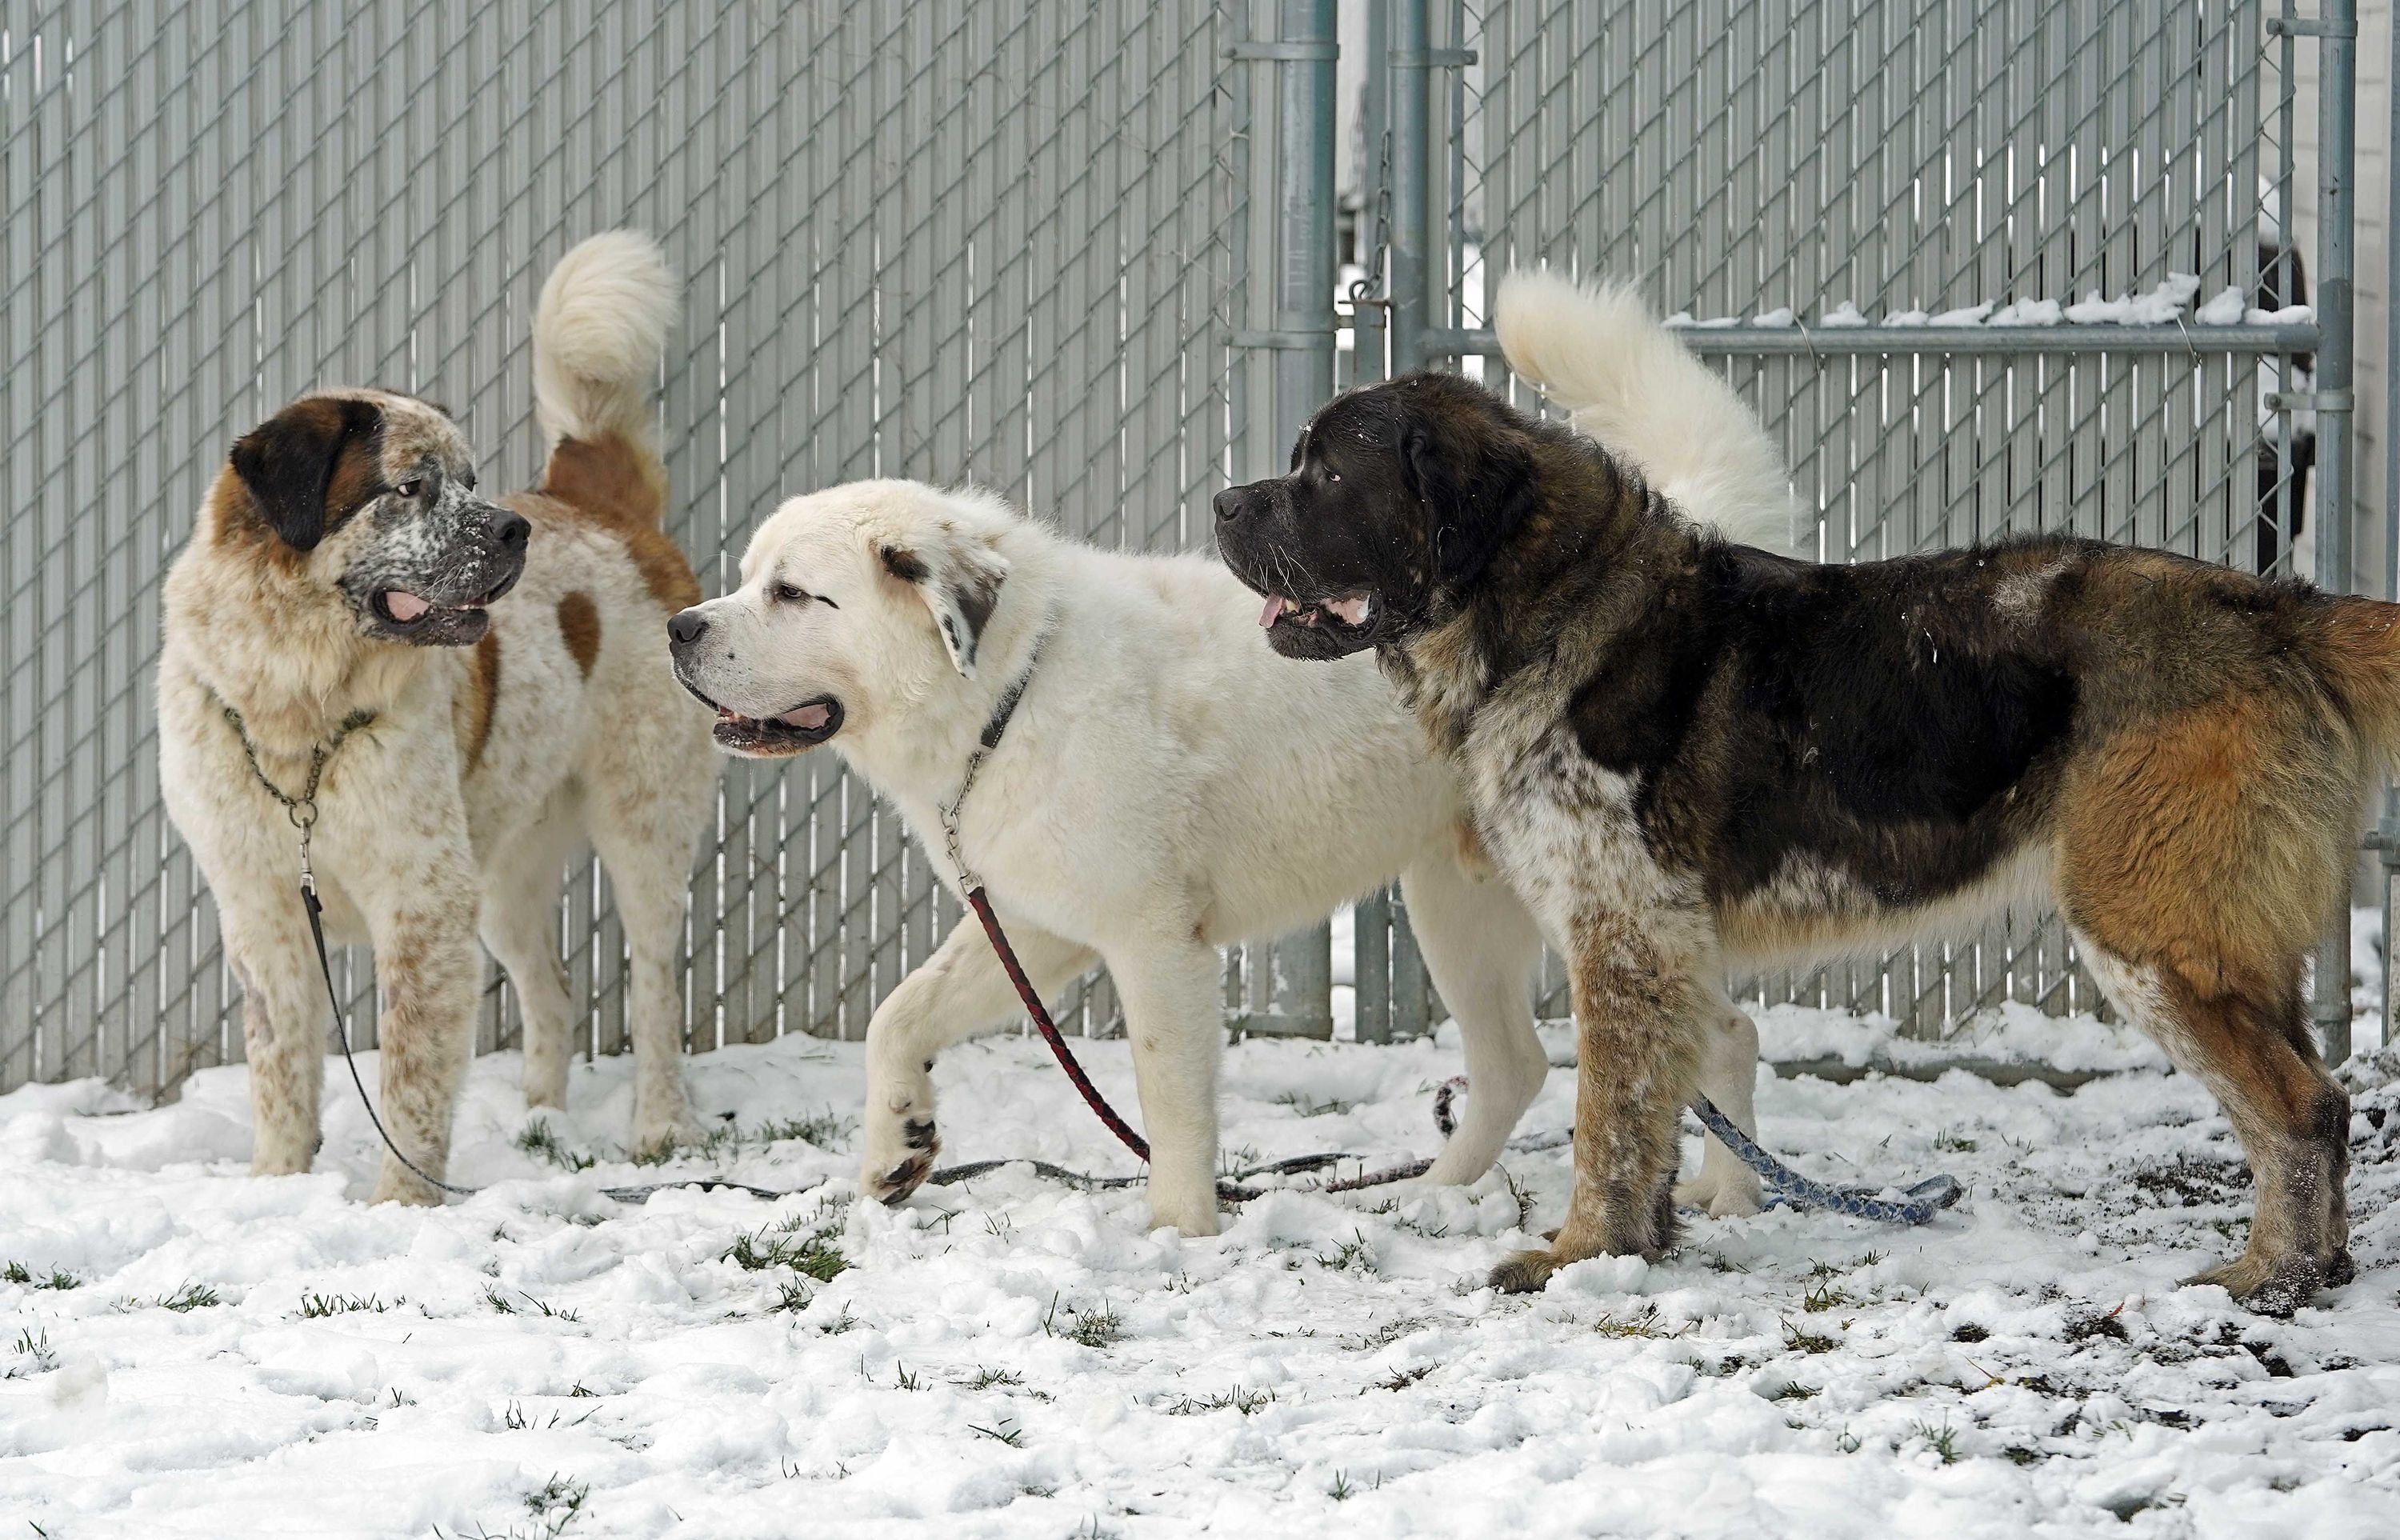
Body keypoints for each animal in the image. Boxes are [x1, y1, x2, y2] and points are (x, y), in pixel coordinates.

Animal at [667, 275, 1795, 1228]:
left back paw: (1733, 1192)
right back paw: (1432, 1196)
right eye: (749, 577)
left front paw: (1176, 1234)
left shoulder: (1153, 941)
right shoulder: (1035, 926)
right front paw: (895, 1149)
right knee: (1518, 1063)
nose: (679, 626)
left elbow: (1168, 1102)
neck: (1013, 685)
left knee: (1720, 1035)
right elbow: (897, 1016)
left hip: (1581, 898)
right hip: (1463, 901)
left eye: (792, 594)